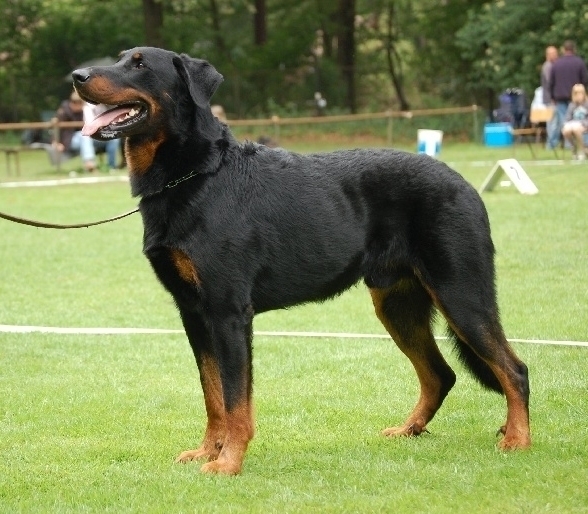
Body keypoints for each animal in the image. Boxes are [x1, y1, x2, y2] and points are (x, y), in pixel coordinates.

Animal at [71, 47, 532, 472]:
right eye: (120, 58)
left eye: (139, 64)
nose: (77, 76)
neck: (195, 175)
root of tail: (465, 184)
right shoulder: (193, 313)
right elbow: (213, 394)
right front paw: (208, 451)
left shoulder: (228, 311)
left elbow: (236, 399)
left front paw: (228, 462)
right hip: (397, 305)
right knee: (441, 374)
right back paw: (409, 429)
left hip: (460, 294)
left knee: (514, 369)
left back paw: (518, 440)